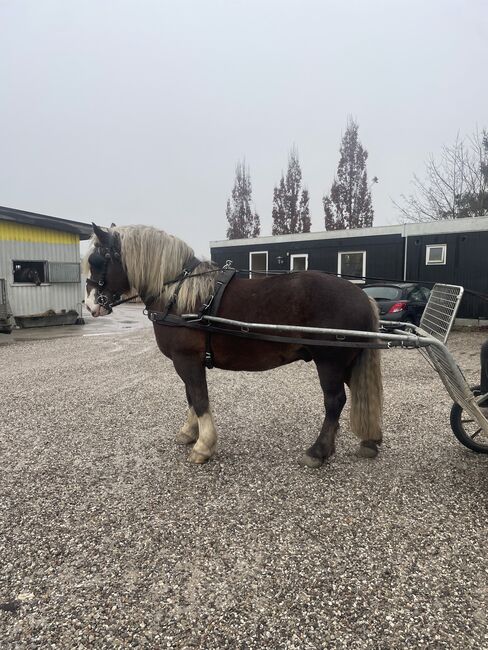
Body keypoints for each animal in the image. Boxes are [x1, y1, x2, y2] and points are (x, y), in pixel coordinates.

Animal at [83, 223, 382, 466]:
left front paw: (203, 446)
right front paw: (189, 433)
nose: (90, 305)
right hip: (347, 362)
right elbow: (190, 397)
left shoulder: (186, 359)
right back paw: (369, 441)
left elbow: (199, 399)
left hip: (330, 362)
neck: (178, 294)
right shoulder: (188, 362)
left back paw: (318, 451)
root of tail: (362, 296)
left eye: (97, 260)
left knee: (335, 401)